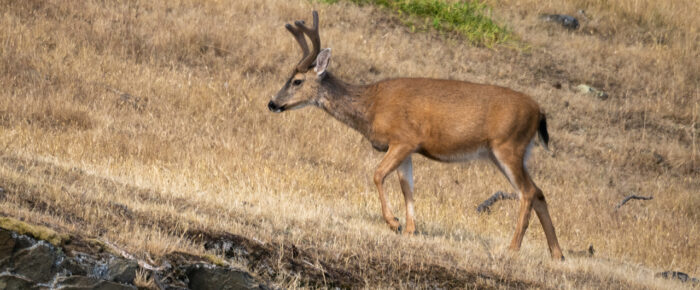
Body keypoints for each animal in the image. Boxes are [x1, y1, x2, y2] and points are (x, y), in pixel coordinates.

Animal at [266, 10, 568, 260]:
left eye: (297, 81)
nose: (272, 103)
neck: (371, 107)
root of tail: (540, 112)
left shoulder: (404, 139)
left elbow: (378, 174)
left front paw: (394, 223)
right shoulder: (407, 149)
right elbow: (407, 185)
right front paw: (410, 229)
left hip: (508, 146)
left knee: (527, 192)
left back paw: (513, 248)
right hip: (510, 153)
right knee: (539, 192)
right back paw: (557, 254)